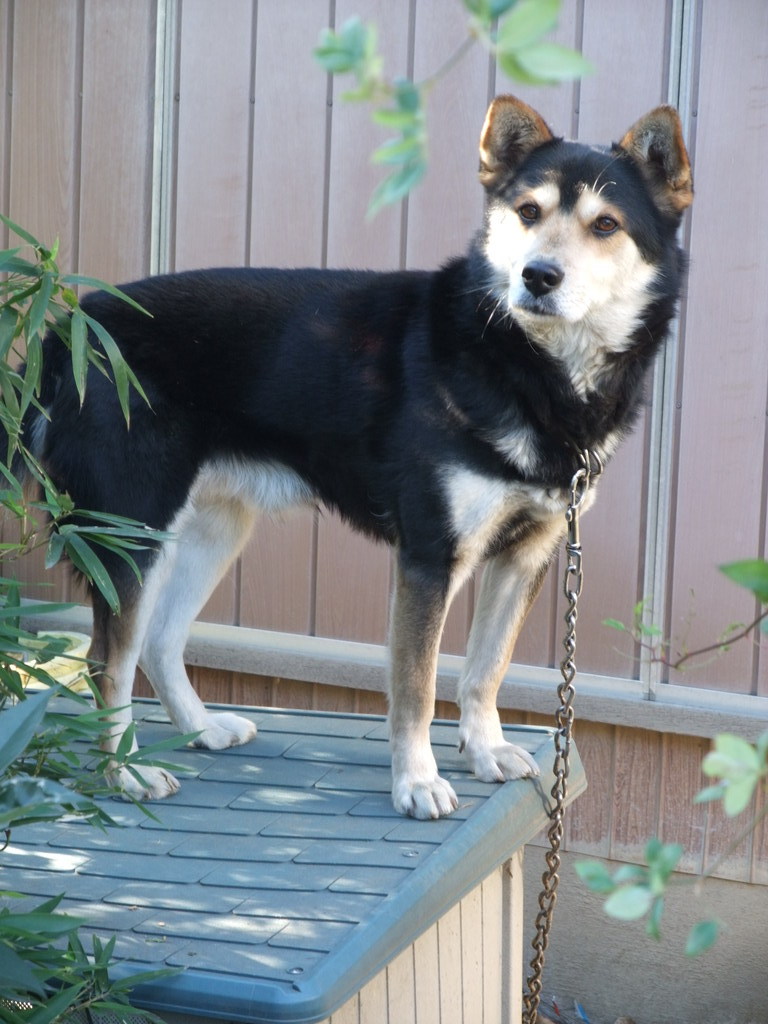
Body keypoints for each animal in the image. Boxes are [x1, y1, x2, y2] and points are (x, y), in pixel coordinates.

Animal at [22, 96, 696, 815]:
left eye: (605, 224)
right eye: (528, 212)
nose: (536, 275)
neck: (525, 364)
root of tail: (66, 330)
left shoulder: (528, 552)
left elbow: (487, 668)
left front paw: (484, 750)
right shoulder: (429, 556)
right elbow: (417, 685)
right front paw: (417, 782)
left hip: (213, 528)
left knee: (159, 640)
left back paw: (201, 728)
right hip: (130, 533)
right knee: (107, 663)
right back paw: (125, 773)